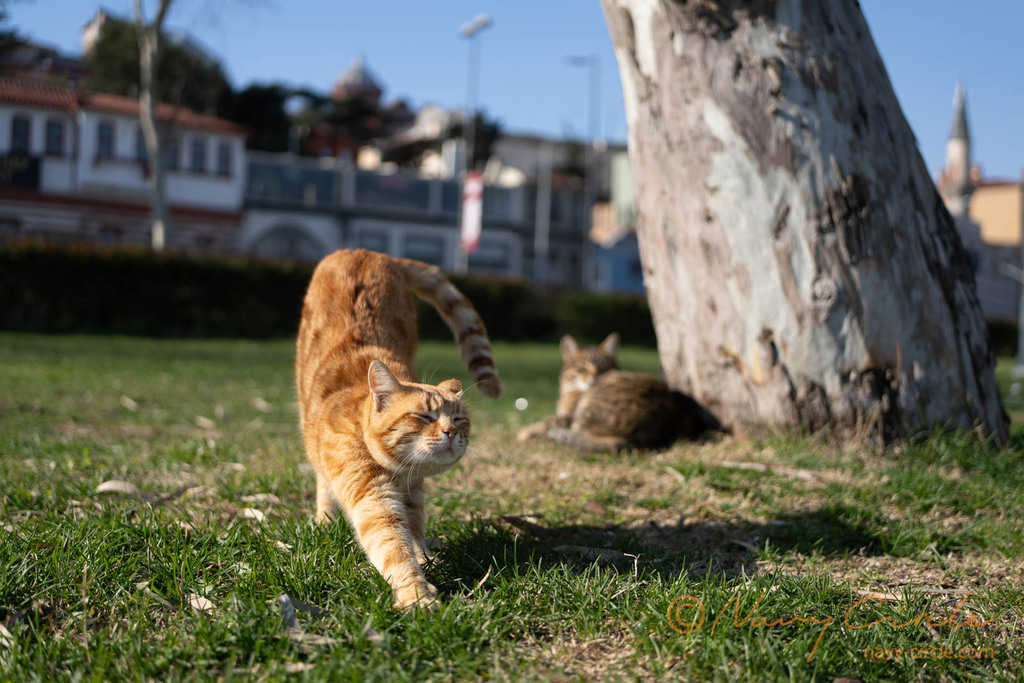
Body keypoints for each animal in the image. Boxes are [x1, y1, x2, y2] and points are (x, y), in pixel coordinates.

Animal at [296, 249, 503, 610]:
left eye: (459, 419)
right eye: (425, 417)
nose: (451, 432)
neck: (399, 470)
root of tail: (368, 252)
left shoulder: (413, 490)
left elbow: (414, 527)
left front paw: (423, 557)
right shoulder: (372, 497)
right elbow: (392, 545)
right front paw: (416, 592)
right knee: (322, 481)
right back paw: (325, 520)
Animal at [516, 333, 716, 450]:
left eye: (603, 368)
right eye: (582, 368)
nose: (594, 376)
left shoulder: (569, 416)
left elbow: (546, 421)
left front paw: (525, 432)